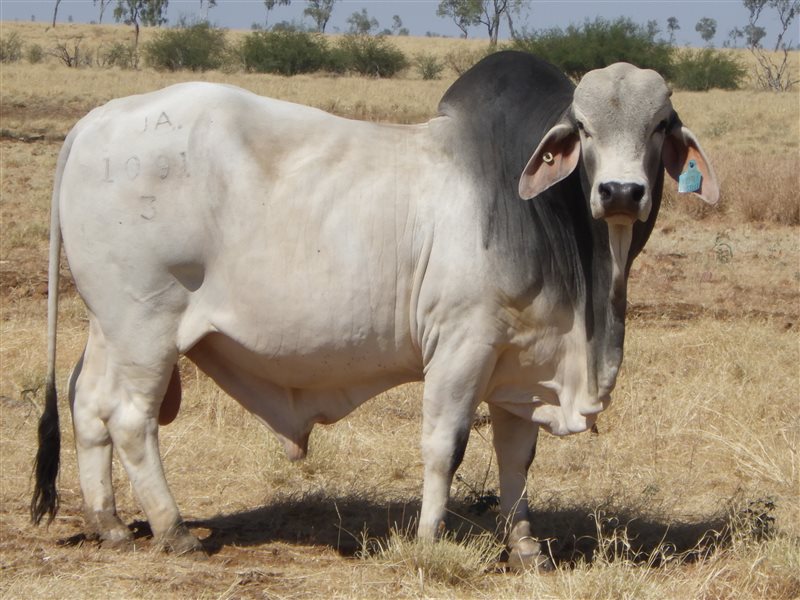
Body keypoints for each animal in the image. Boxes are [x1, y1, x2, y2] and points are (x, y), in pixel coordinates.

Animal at [31, 51, 717, 569]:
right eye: (585, 126)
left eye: (661, 124)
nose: (621, 192)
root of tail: (98, 119)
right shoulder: (462, 343)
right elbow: (446, 446)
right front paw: (428, 542)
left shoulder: (519, 359)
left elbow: (516, 457)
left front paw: (525, 549)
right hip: (147, 325)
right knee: (131, 418)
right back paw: (173, 531)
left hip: (109, 325)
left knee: (87, 402)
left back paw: (108, 524)